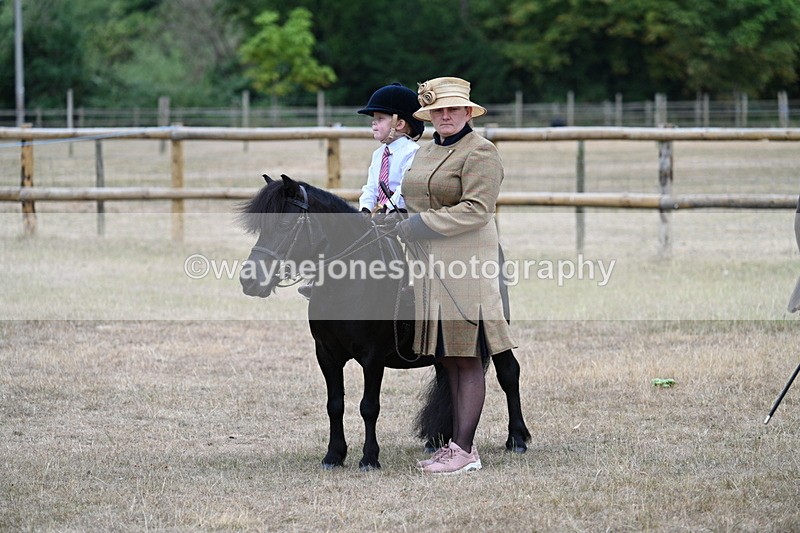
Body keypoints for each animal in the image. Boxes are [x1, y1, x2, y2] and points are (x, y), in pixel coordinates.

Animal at [238, 174, 530, 470]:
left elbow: (369, 406)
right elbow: (335, 404)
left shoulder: (373, 356)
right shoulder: (326, 354)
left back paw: (517, 439)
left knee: (508, 373)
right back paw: (439, 439)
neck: (348, 284)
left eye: (285, 224)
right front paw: (334, 455)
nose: (249, 280)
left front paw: (369, 458)